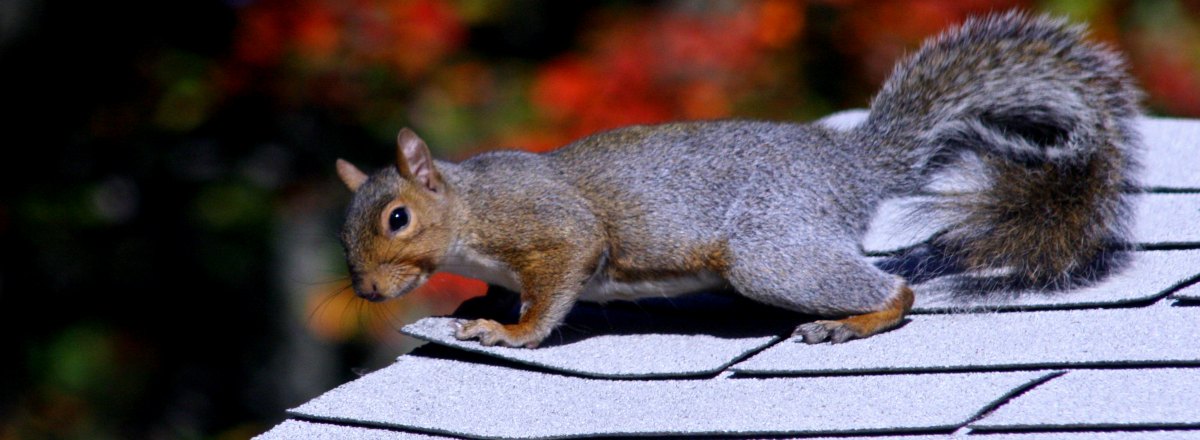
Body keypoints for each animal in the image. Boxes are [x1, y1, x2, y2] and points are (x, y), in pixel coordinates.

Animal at [334, 11, 1140, 347]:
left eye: (398, 218)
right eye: (347, 231)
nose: (367, 291)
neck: (470, 208)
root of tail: (847, 168)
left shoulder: (551, 228)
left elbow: (558, 280)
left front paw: (511, 331)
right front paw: (481, 301)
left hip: (768, 250)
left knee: (896, 291)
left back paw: (851, 322)